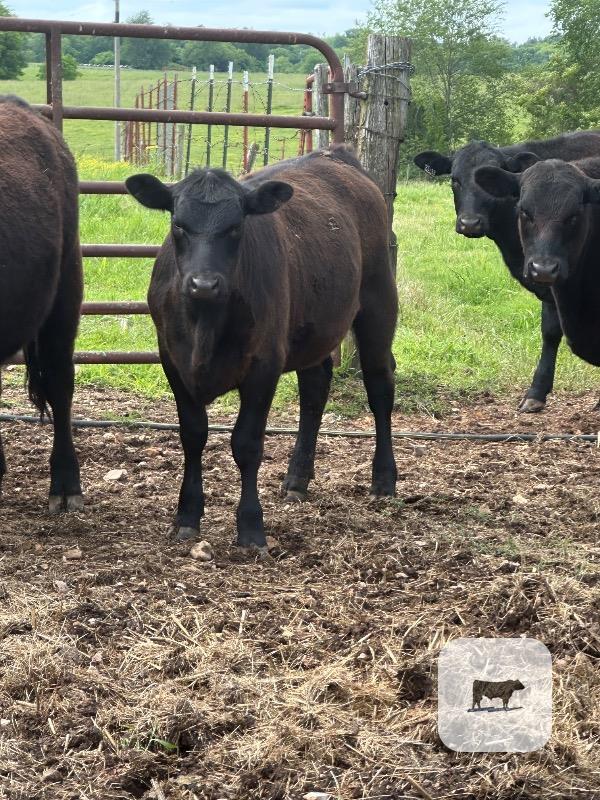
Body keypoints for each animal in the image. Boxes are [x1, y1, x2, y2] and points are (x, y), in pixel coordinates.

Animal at [125, 146, 398, 550]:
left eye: (236, 227)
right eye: (178, 225)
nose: (203, 284)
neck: (205, 324)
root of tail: (335, 155)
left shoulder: (264, 365)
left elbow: (247, 443)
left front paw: (251, 527)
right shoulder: (173, 361)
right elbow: (193, 435)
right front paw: (187, 515)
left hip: (379, 303)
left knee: (379, 386)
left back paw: (384, 479)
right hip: (313, 326)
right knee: (314, 391)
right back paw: (297, 478)